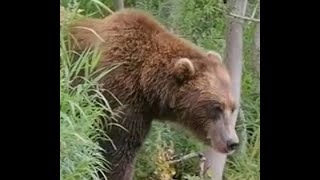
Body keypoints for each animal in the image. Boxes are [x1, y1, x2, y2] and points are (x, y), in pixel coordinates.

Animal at [67, 8, 238, 180]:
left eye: (232, 107)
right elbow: (115, 153)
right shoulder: (115, 97)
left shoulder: (141, 112)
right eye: (217, 107)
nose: (232, 142)